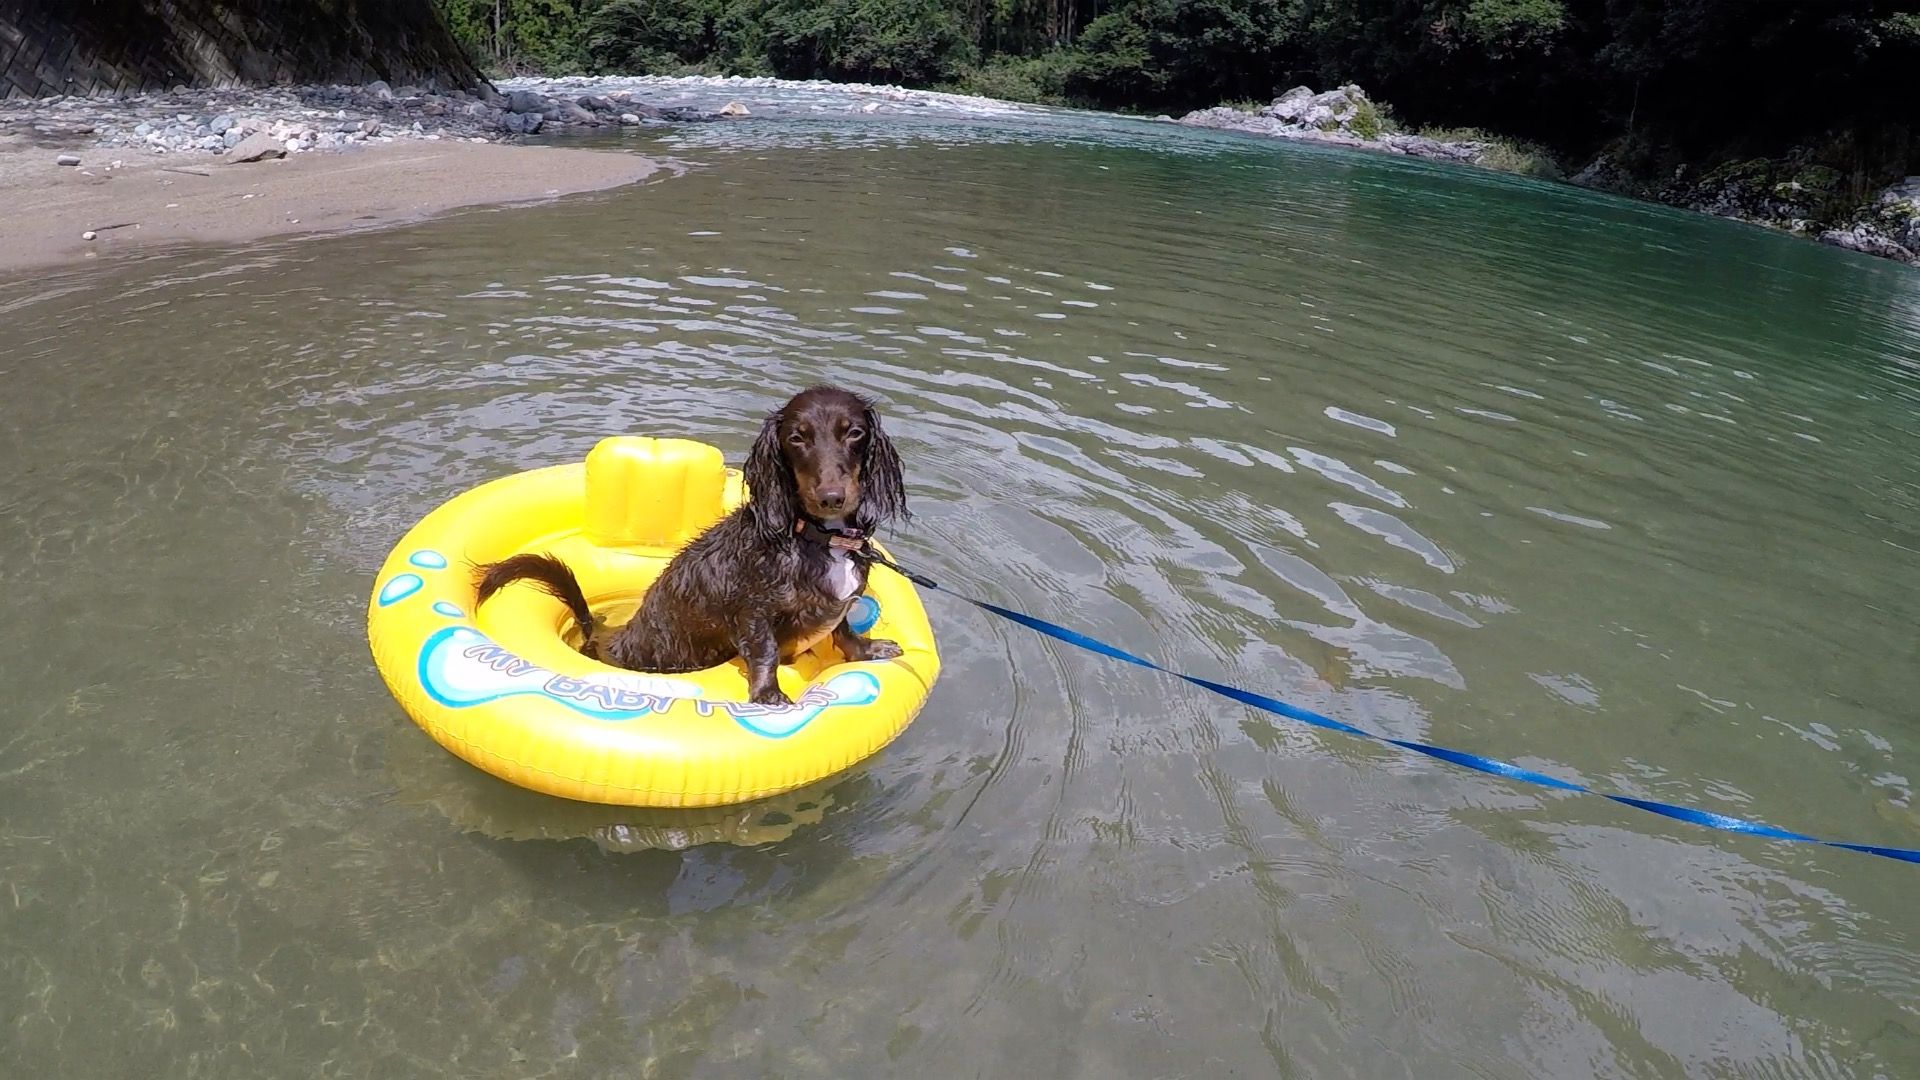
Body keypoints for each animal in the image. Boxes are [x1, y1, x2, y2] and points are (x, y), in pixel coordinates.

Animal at [470, 382, 906, 703]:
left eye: (854, 433)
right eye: (797, 438)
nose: (832, 497)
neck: (818, 536)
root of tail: (607, 638)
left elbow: (844, 631)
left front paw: (867, 651)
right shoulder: (752, 611)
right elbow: (764, 651)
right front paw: (768, 694)